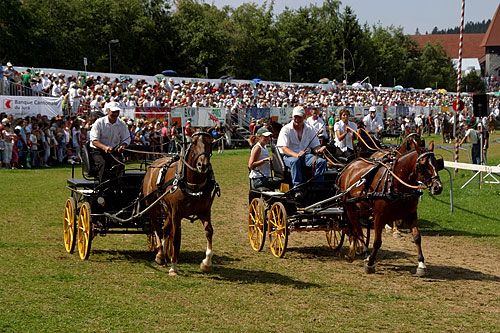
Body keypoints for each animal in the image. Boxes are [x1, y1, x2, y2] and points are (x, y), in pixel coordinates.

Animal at [141, 132, 219, 274]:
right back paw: (160, 254)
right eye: (193, 143)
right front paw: (173, 266)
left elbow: (209, 231)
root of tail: (153, 164)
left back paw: (163, 255)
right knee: (156, 228)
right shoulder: (176, 213)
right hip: (153, 206)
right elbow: (176, 236)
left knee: (165, 229)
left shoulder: (205, 211)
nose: (203, 165)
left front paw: (206, 263)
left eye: (210, 143)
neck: (192, 186)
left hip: (167, 210)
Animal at [338, 140, 444, 274]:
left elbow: (417, 237)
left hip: (362, 208)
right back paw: (366, 255)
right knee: (358, 230)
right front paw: (371, 263)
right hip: (349, 206)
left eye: (436, 163)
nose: (438, 187)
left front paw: (421, 264)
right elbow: (377, 241)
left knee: (356, 229)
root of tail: (349, 167)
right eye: (423, 164)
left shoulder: (411, 213)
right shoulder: (379, 215)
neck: (395, 182)